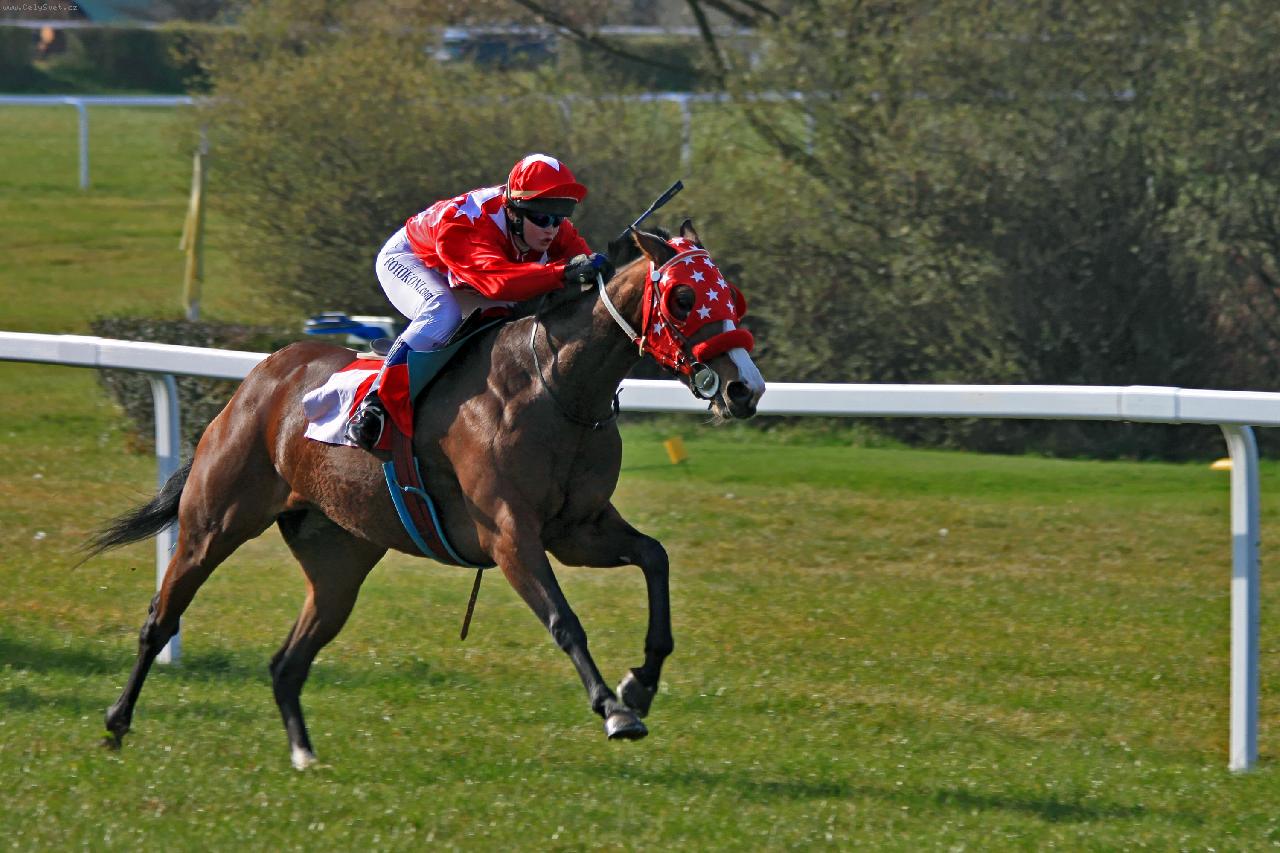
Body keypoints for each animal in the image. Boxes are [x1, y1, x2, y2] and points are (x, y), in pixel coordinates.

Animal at [86, 222, 766, 769]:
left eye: (732, 295)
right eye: (683, 297)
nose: (745, 389)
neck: (557, 389)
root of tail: (262, 376)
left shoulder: (579, 529)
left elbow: (655, 558)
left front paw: (640, 683)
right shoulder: (510, 534)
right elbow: (564, 619)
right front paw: (614, 709)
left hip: (339, 560)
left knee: (287, 661)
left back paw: (304, 753)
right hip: (215, 521)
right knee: (161, 618)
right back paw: (116, 724)